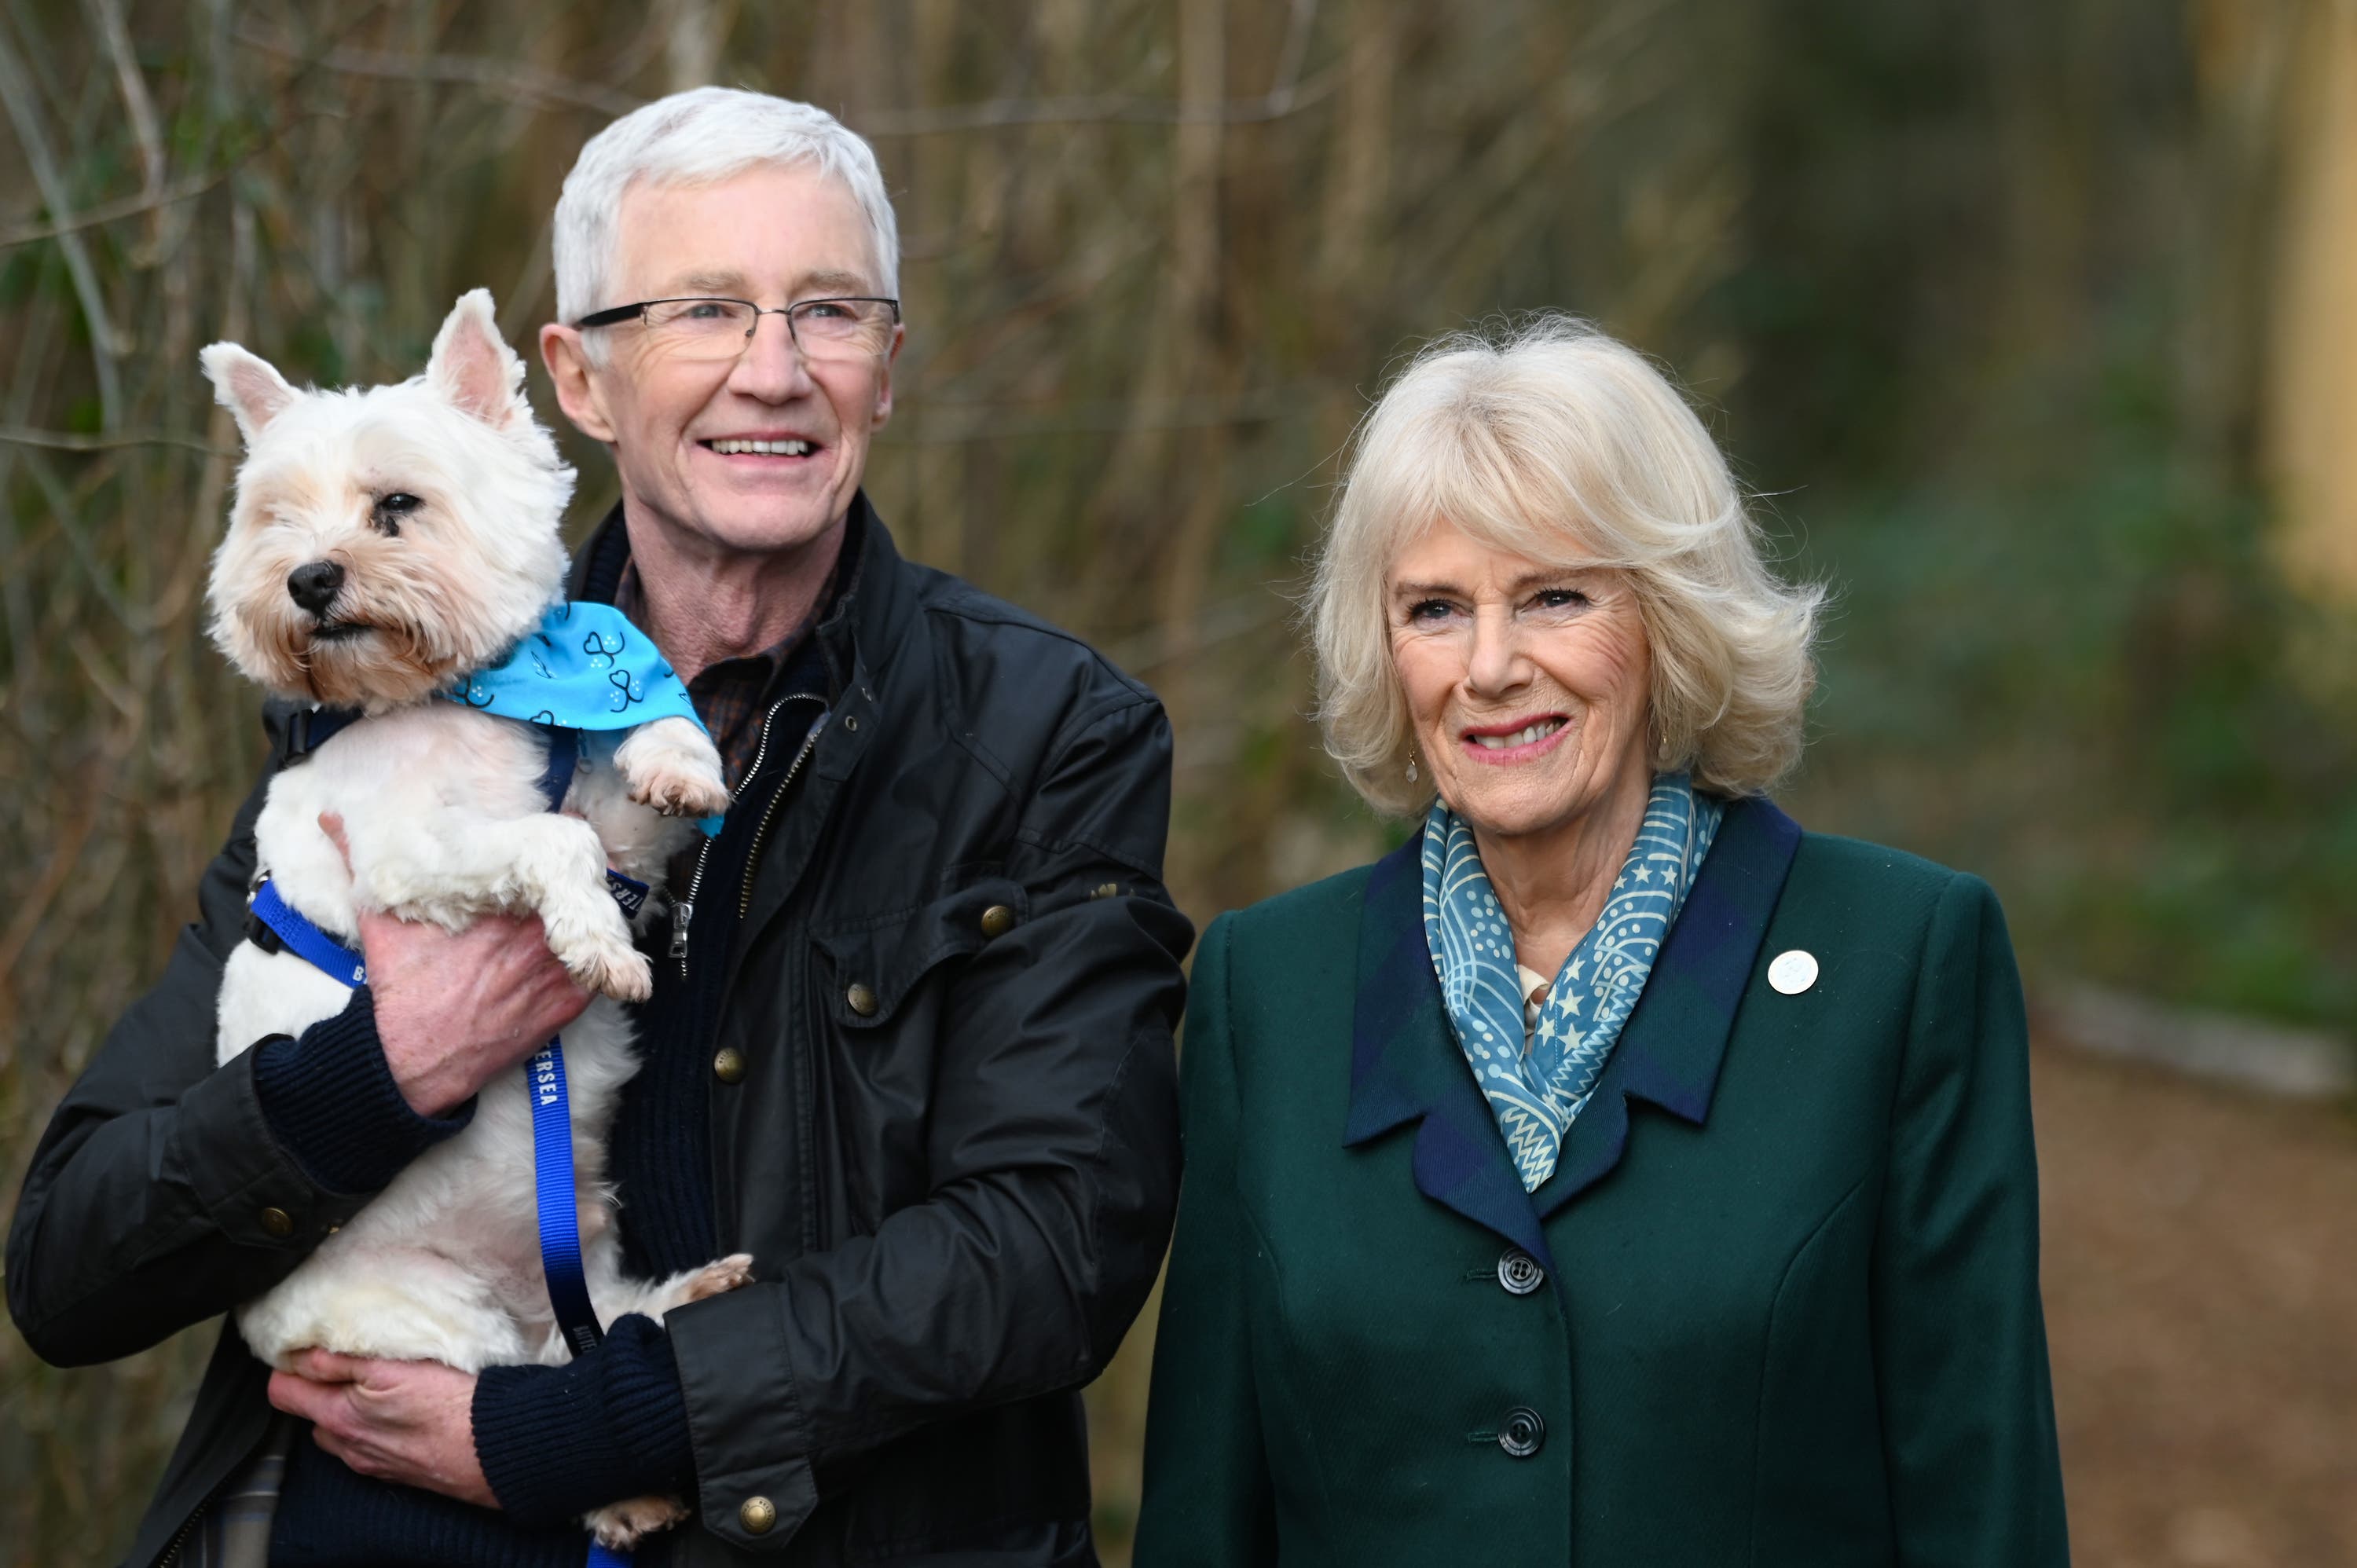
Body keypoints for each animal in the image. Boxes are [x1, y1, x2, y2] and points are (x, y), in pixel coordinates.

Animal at [213, 288, 745, 1546]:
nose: (308, 579)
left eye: (395, 507)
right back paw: (628, 1492)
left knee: (609, 1336)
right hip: (429, 1322)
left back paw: (696, 1296)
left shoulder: (614, 812)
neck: (469, 694)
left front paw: (682, 765)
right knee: (529, 1391)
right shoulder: (413, 858)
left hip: (582, 1269)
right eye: (275, 519)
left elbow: (646, 750)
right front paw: (597, 945)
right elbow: (552, 844)